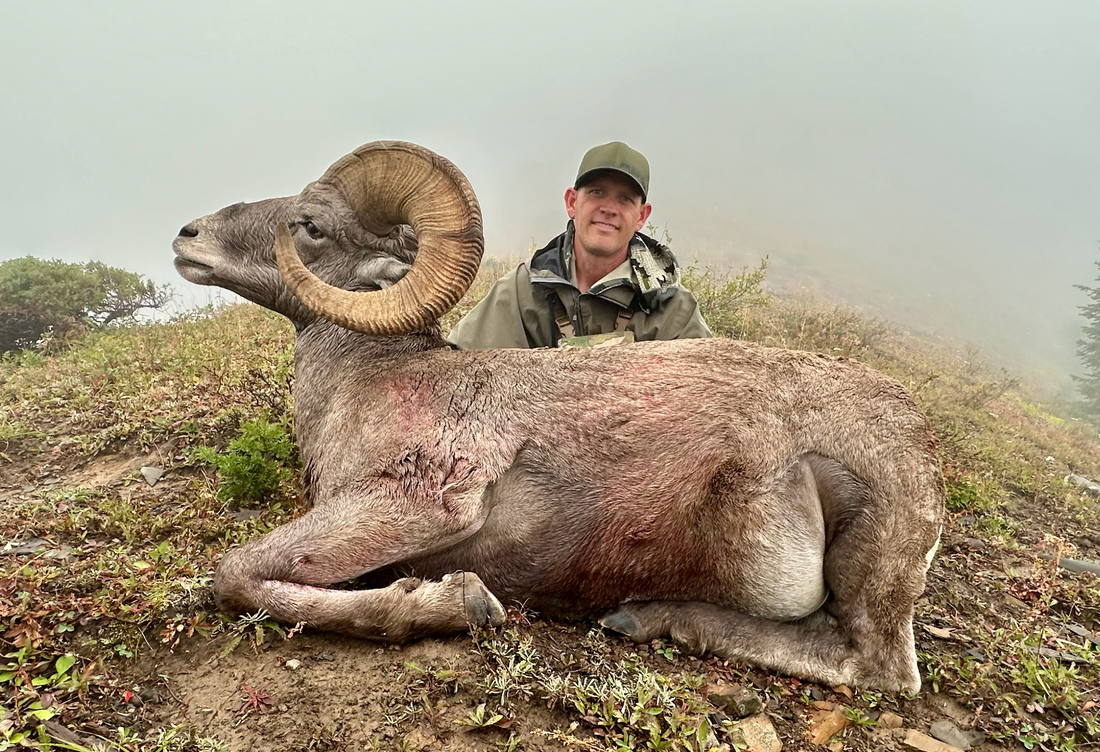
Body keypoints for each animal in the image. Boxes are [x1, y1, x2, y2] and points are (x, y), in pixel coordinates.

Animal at [173, 141, 944, 692]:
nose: (187, 236)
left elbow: (234, 574)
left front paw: (459, 603)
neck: (364, 381)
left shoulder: (416, 507)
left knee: (874, 668)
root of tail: (920, 439)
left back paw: (653, 617)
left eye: (309, 226)